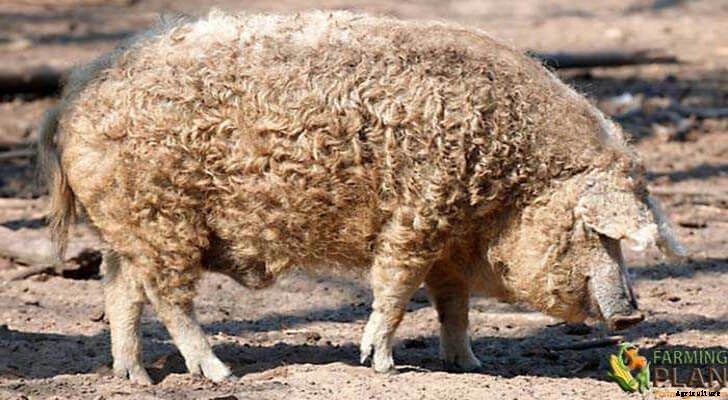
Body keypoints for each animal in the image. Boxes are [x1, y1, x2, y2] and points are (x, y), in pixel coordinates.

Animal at [38, 10, 685, 383]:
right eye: (600, 233)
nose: (633, 313)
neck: (509, 181)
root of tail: (72, 95)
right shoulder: (419, 215)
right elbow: (395, 288)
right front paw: (380, 364)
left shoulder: (448, 245)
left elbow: (453, 304)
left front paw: (469, 365)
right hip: (161, 217)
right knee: (169, 297)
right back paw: (219, 375)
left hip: (126, 224)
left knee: (120, 288)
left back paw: (134, 379)